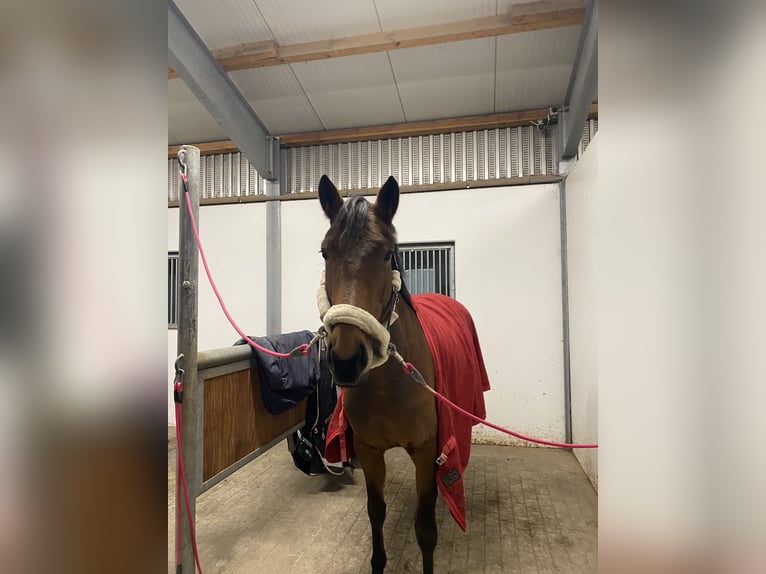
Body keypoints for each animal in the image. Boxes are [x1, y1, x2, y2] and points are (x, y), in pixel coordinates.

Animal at [317, 174, 489, 574]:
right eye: (325, 252)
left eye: (385, 253)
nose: (346, 359)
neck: (389, 385)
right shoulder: (368, 451)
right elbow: (375, 512)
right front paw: (378, 562)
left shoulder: (428, 452)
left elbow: (425, 529)